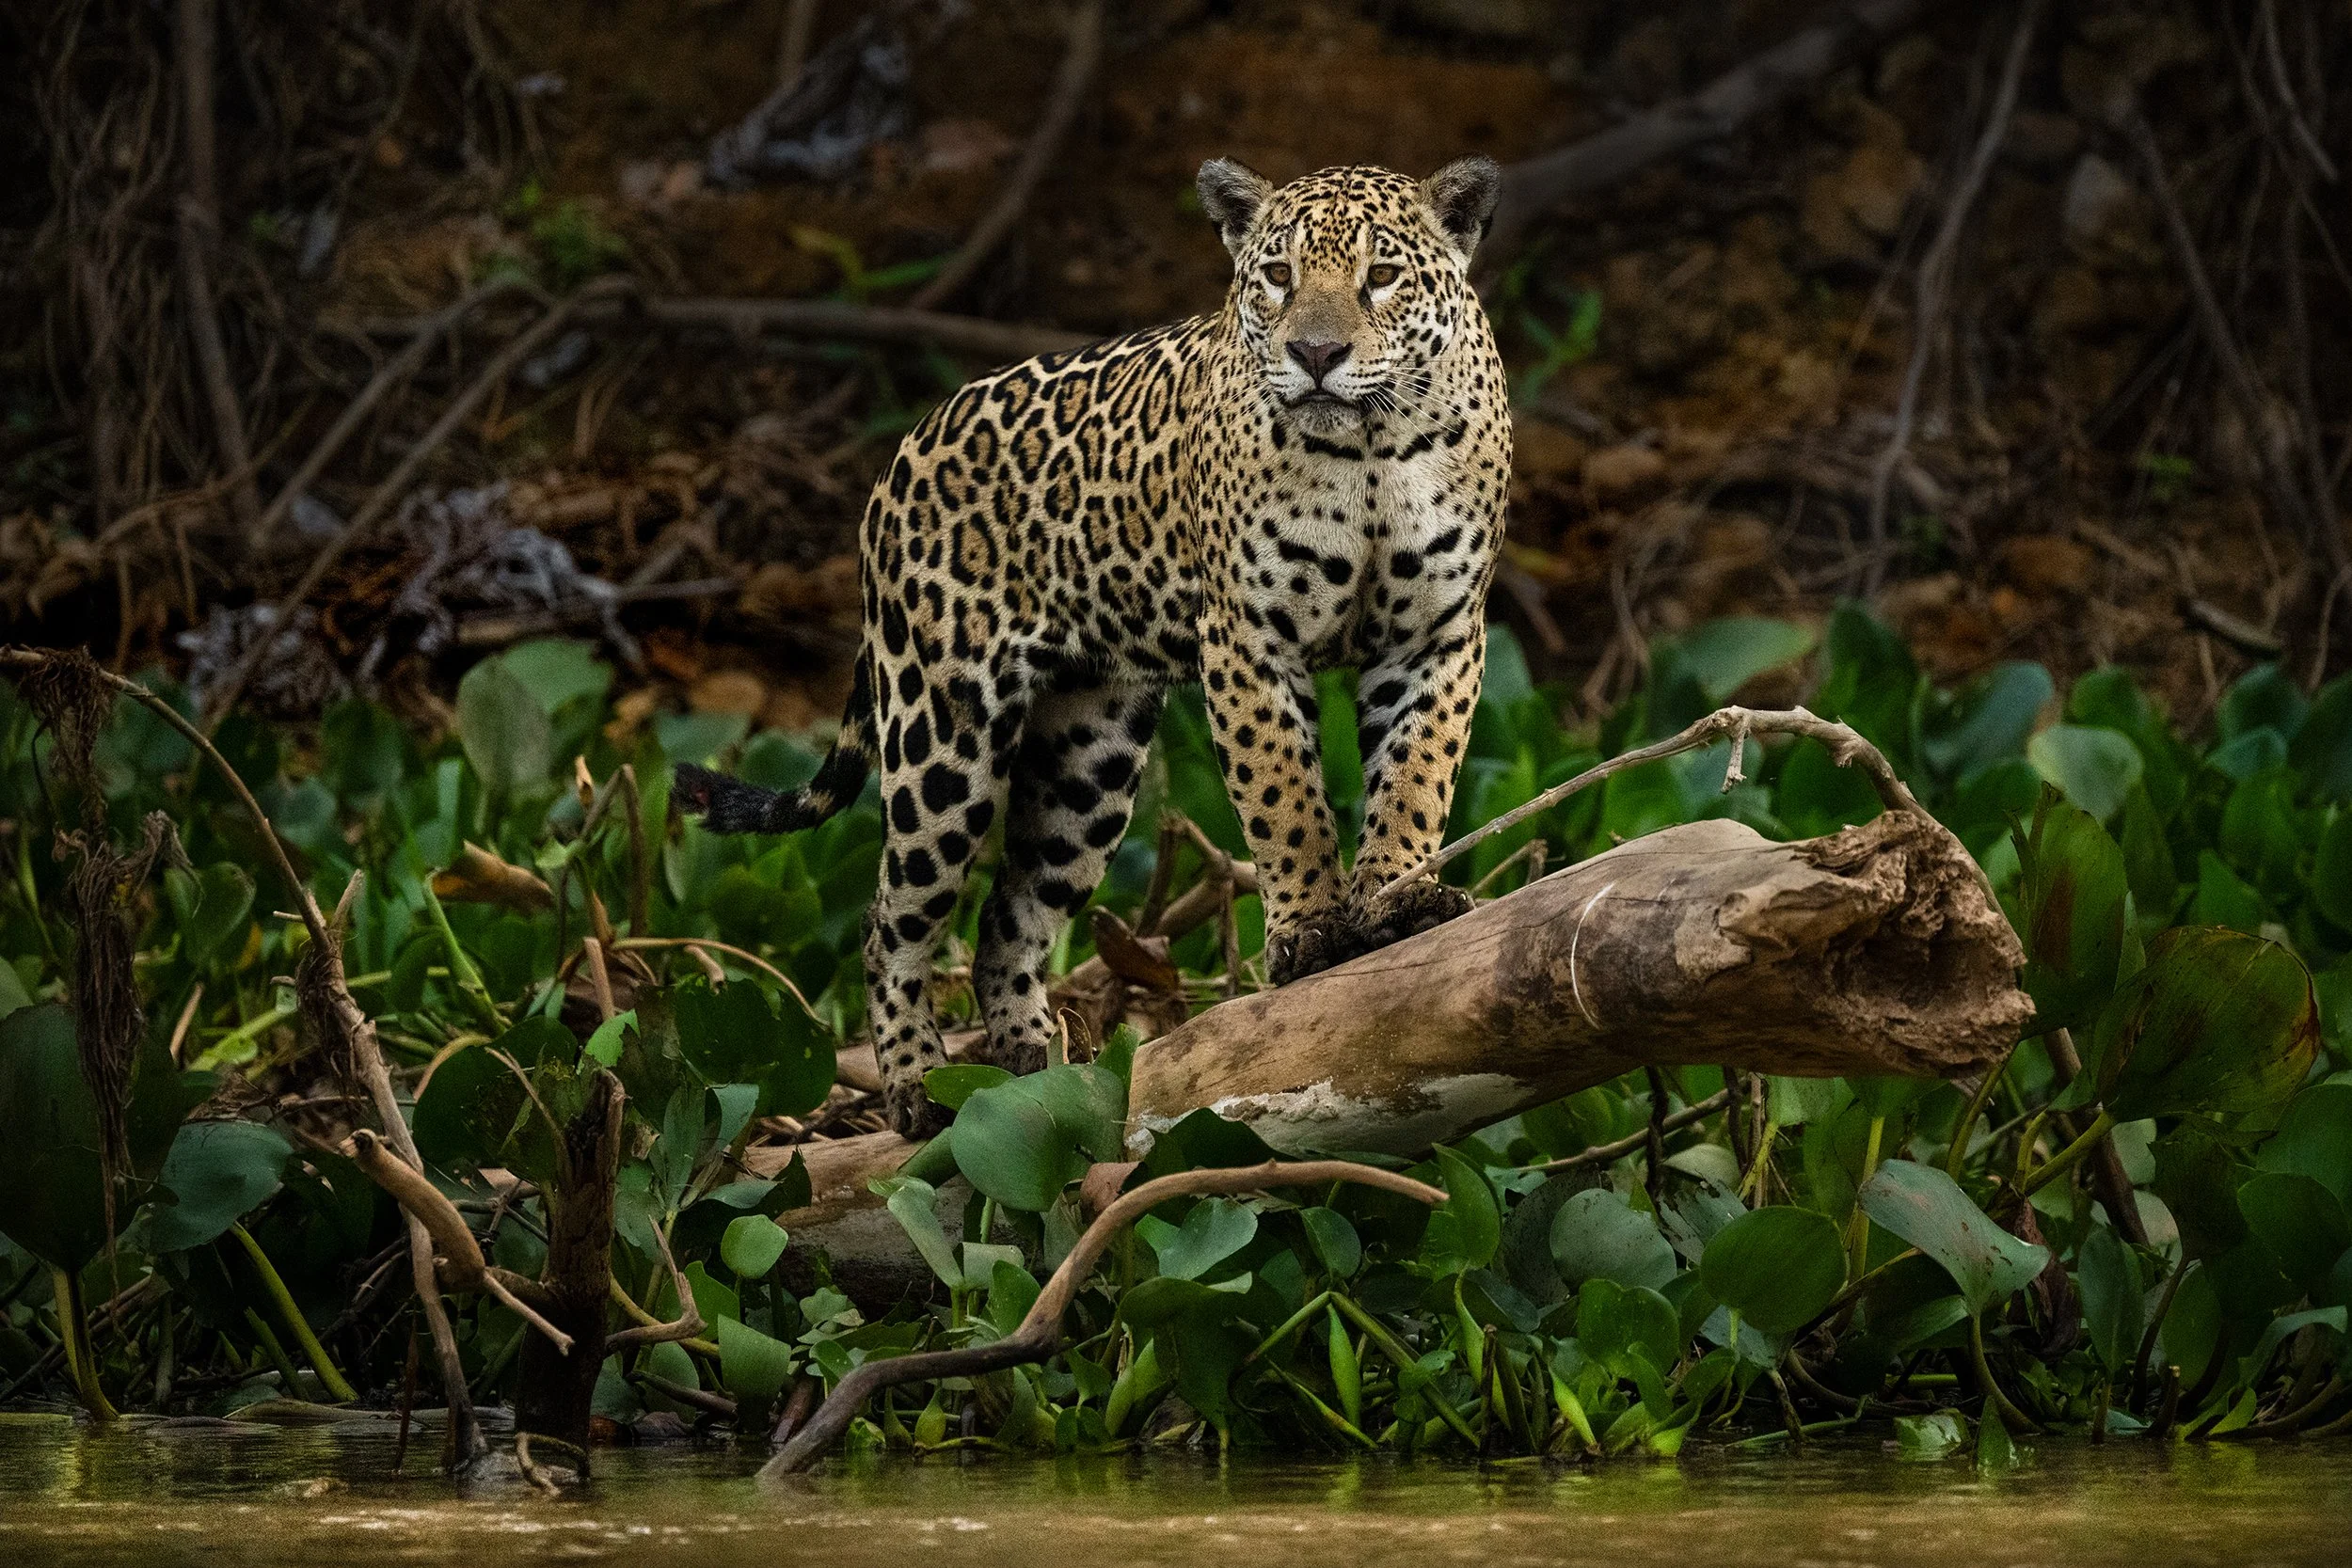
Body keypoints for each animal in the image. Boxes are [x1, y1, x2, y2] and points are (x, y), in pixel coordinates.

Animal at [677, 156, 1513, 1138]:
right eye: (1278, 277)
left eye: (1381, 276)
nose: (1315, 355)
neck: (1373, 451)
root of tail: (897, 459)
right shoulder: (1248, 641)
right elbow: (1287, 799)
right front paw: (1310, 929)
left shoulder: (1439, 636)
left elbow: (1417, 779)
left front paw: (1401, 901)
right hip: (942, 739)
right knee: (891, 918)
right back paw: (920, 1088)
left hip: (1089, 758)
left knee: (1008, 917)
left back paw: (1029, 1072)